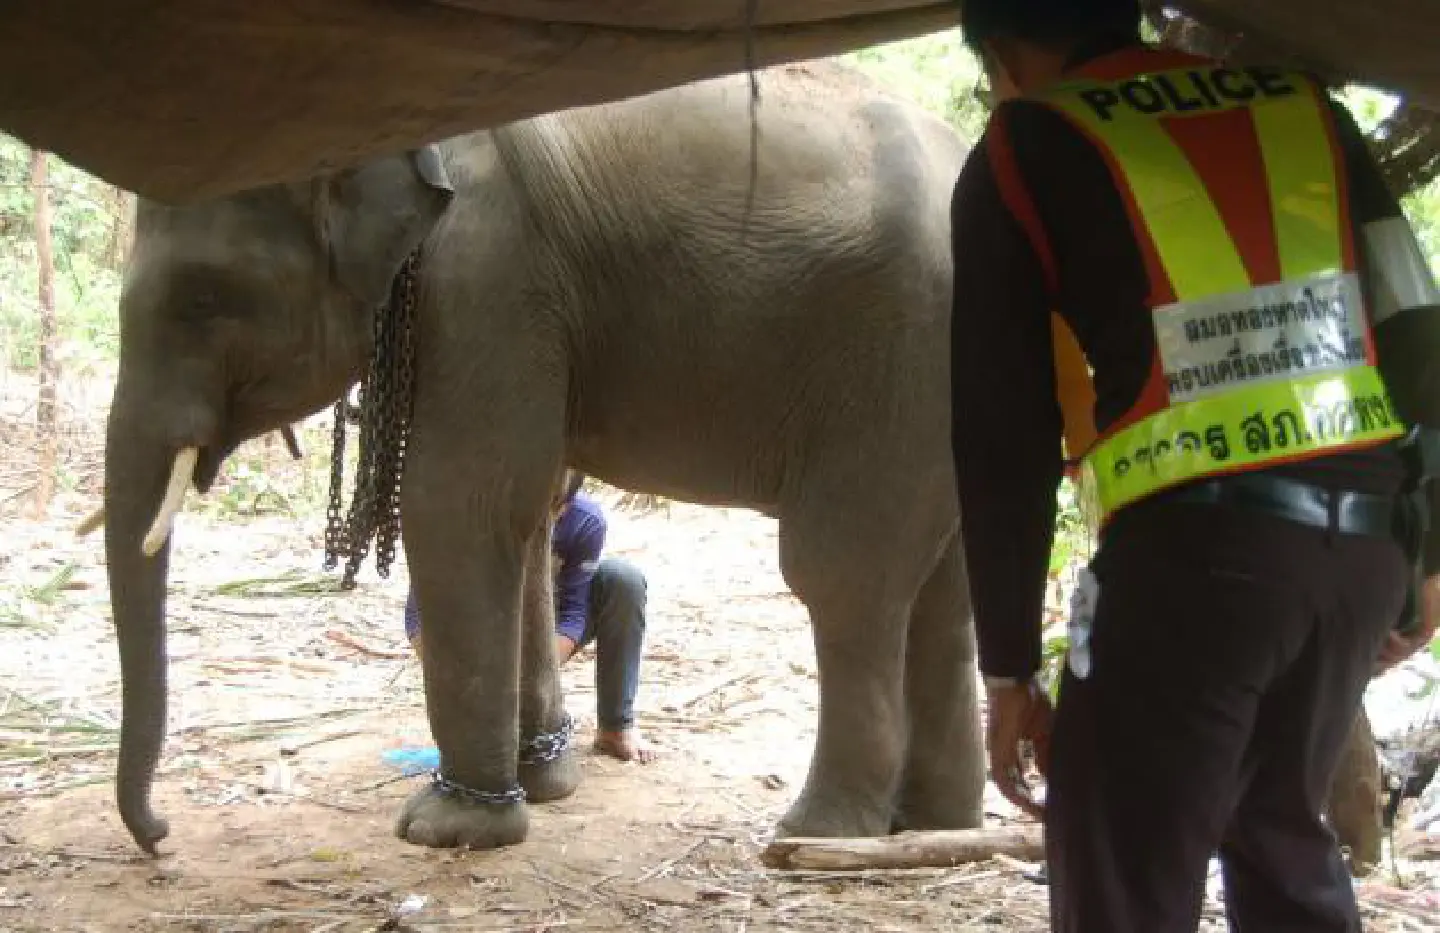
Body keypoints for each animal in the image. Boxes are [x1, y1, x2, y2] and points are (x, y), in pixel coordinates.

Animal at [95, 59, 984, 854]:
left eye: (202, 299)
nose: (160, 837)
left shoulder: (488, 270)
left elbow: (461, 503)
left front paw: (450, 828)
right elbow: (523, 519)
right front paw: (543, 783)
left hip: (900, 363)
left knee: (843, 579)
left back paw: (815, 836)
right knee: (943, 589)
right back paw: (931, 827)